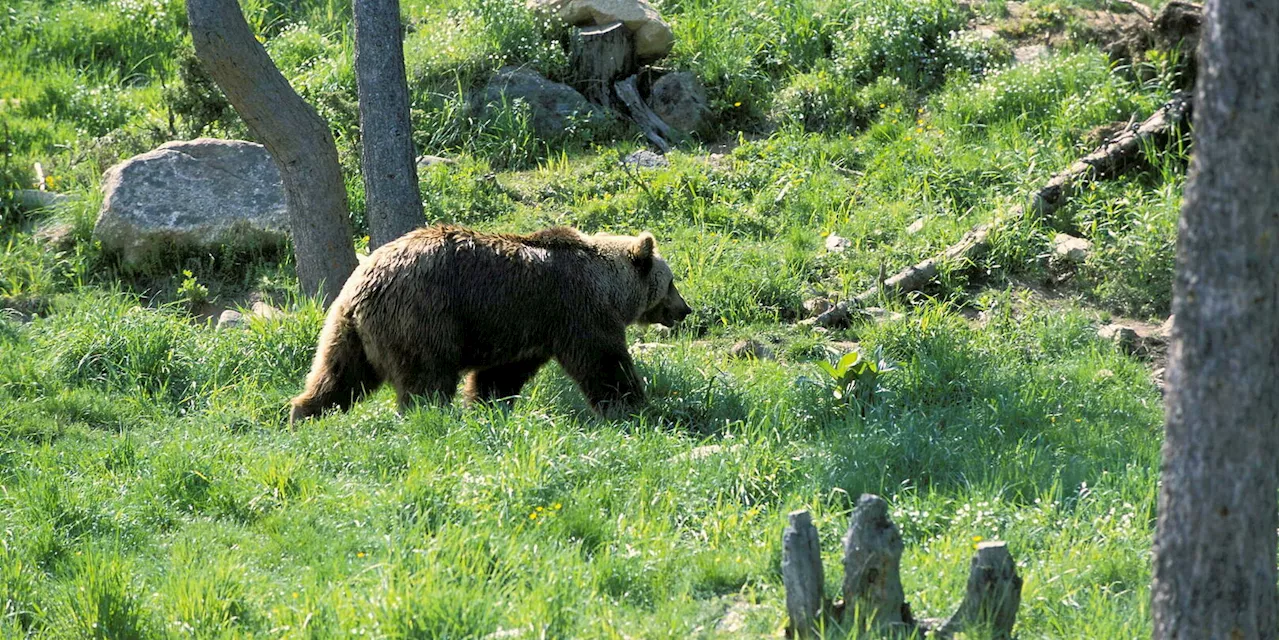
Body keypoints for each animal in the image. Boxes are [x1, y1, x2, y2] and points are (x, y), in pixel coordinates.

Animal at [288, 222, 691, 422]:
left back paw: (305, 416)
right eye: (671, 282)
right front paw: (636, 406)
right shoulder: (575, 310)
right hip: (422, 316)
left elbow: (500, 375)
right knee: (426, 379)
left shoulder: (529, 328)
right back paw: (429, 419)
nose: (685, 309)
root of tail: (363, 283)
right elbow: (604, 362)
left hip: (348, 331)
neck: (608, 287)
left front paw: (487, 405)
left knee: (338, 376)